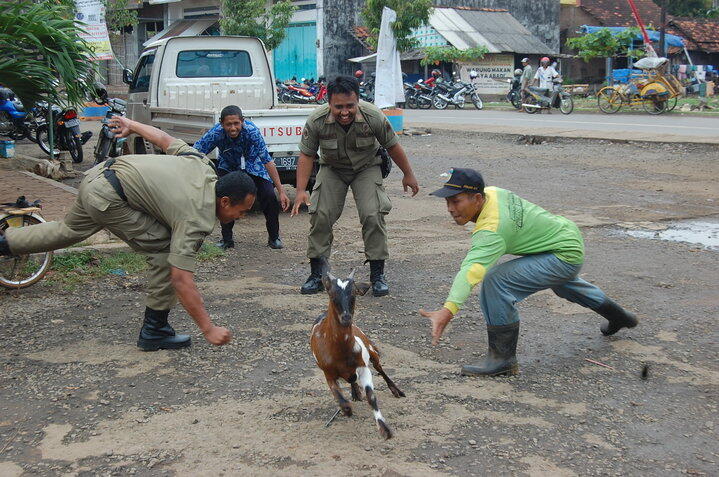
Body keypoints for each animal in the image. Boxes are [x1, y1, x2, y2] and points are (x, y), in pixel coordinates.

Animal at [312, 268, 408, 438]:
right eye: (332, 295)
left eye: (353, 295)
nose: (346, 317)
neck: (339, 351)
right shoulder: (328, 374)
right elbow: (343, 403)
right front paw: (348, 409)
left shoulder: (363, 367)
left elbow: (371, 397)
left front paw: (384, 429)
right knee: (352, 380)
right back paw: (355, 392)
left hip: (371, 349)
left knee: (380, 369)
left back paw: (396, 391)